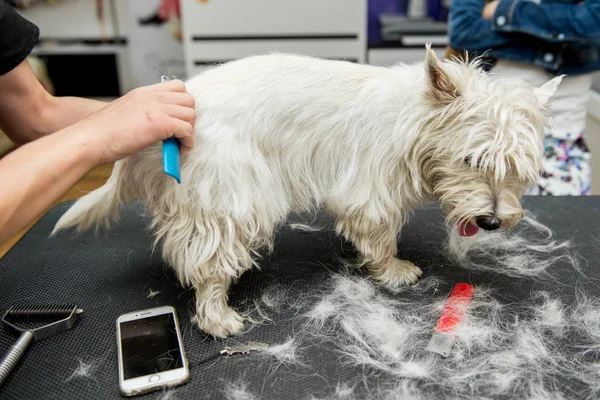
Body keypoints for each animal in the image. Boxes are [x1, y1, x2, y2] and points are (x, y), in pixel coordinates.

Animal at [51, 46, 564, 338]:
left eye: (518, 170)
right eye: (472, 161)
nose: (491, 222)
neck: (414, 120)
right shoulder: (370, 189)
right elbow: (379, 234)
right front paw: (393, 270)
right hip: (231, 198)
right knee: (209, 260)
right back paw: (218, 316)